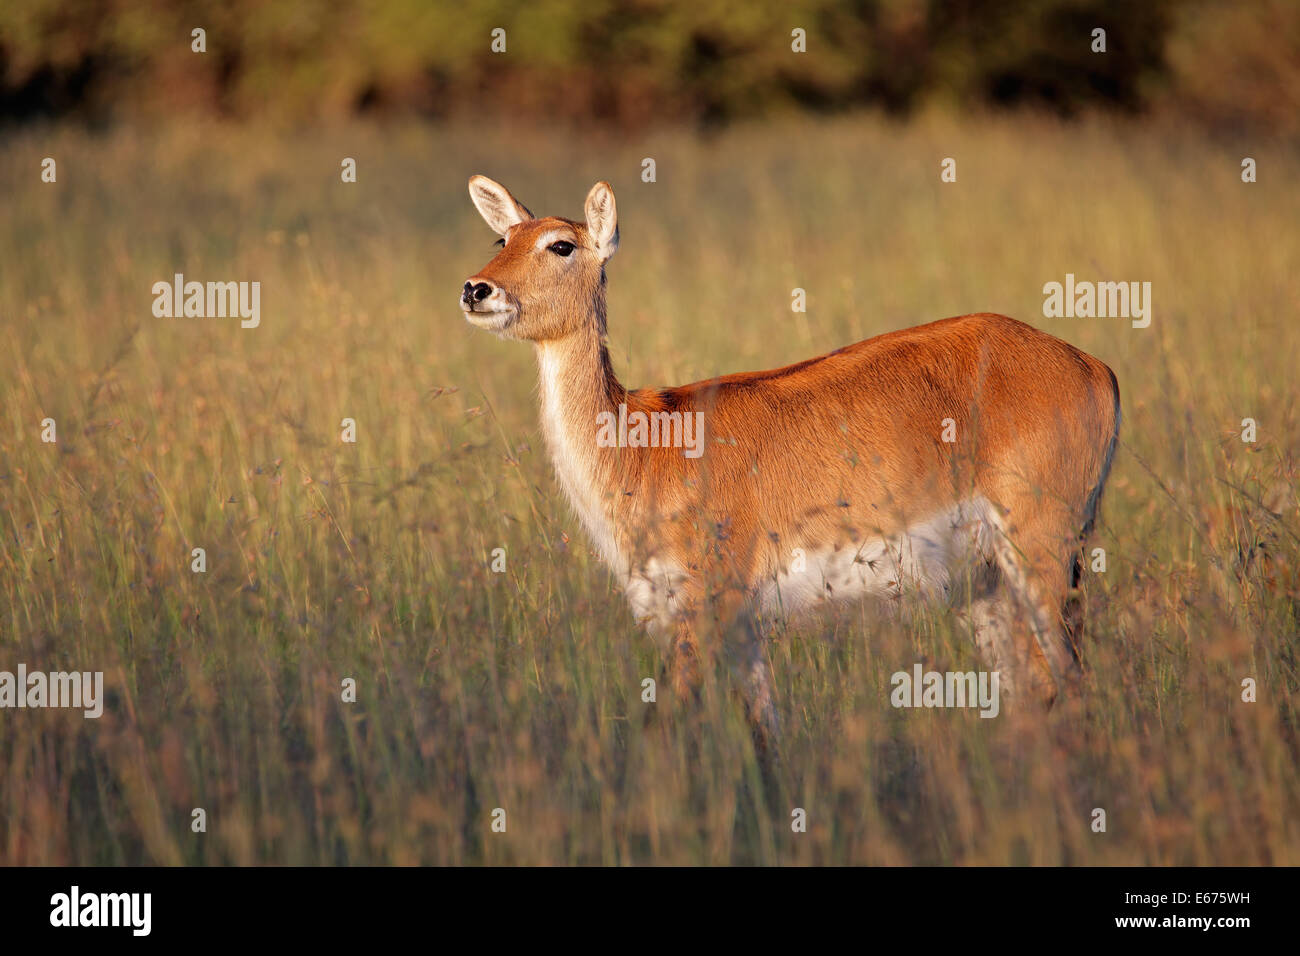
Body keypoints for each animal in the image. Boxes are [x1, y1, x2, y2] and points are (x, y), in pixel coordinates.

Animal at [457, 178, 1118, 749]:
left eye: (560, 244)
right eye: (502, 239)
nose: (475, 289)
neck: (644, 448)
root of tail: (1094, 366)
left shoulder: (704, 609)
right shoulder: (736, 628)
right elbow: (767, 733)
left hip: (1040, 553)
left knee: (1069, 684)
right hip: (986, 584)